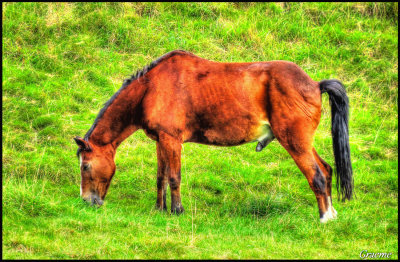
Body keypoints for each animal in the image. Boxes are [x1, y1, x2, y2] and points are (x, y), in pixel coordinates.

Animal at [74, 49, 354, 223]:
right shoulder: (161, 142)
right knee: (327, 170)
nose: (87, 201)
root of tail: (315, 84)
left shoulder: (171, 140)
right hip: (303, 142)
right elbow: (161, 177)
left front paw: (177, 211)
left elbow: (174, 177)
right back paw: (331, 213)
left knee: (317, 176)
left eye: (85, 166)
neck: (151, 88)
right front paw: (159, 209)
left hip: (295, 142)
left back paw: (324, 218)